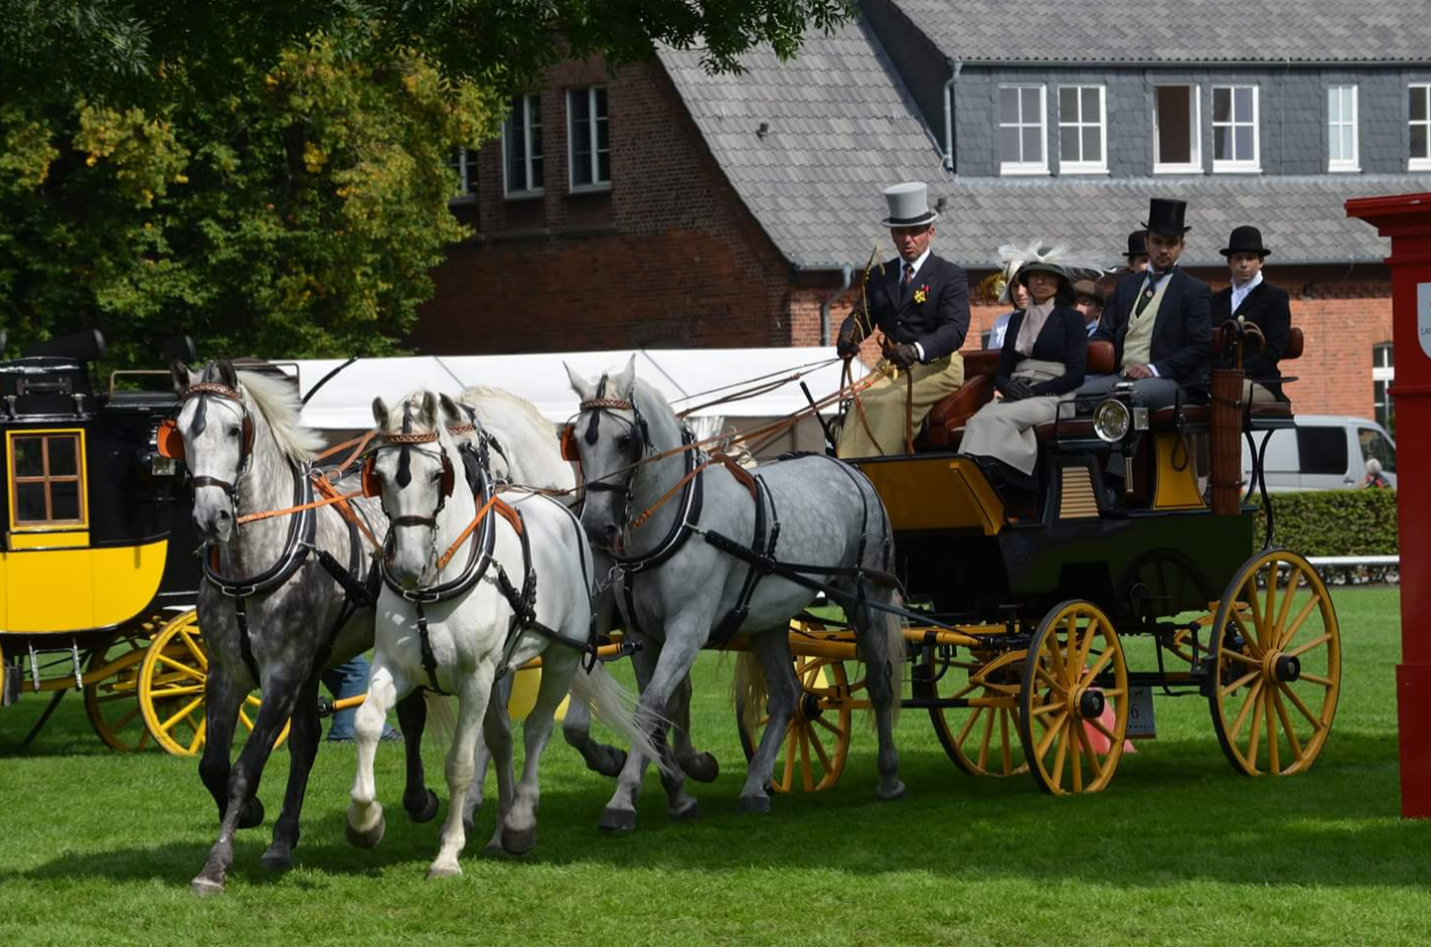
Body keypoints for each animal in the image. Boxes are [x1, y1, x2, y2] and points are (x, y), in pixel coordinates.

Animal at [346, 392, 658, 876]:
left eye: (437, 475)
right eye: (376, 476)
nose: (408, 566)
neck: (433, 584)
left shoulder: (474, 676)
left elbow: (460, 761)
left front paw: (448, 852)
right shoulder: (397, 666)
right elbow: (366, 723)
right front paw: (366, 821)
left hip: (560, 658)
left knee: (536, 729)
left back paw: (519, 821)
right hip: (500, 672)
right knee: (502, 738)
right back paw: (500, 827)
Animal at [560, 357, 904, 830]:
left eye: (625, 439)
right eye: (576, 440)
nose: (595, 527)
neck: (677, 516)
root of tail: (851, 471)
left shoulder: (687, 630)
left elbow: (650, 708)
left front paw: (624, 799)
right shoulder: (642, 636)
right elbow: (655, 712)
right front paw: (678, 790)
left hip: (865, 596)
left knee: (880, 682)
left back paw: (888, 776)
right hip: (770, 619)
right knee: (787, 695)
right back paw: (755, 786)